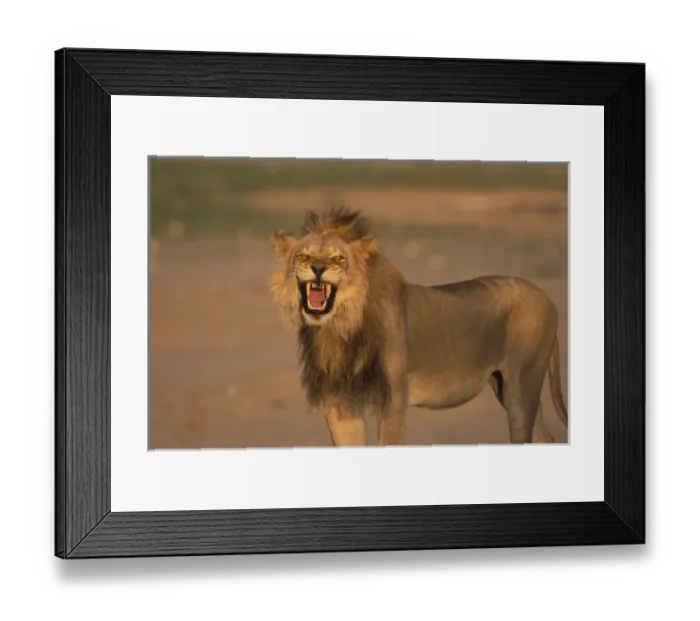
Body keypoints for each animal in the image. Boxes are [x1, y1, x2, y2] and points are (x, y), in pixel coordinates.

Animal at [270, 206, 568, 447]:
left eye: (338, 259)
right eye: (303, 257)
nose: (318, 269)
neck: (341, 327)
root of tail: (548, 298)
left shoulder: (394, 400)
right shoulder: (340, 401)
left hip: (521, 388)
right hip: (507, 388)